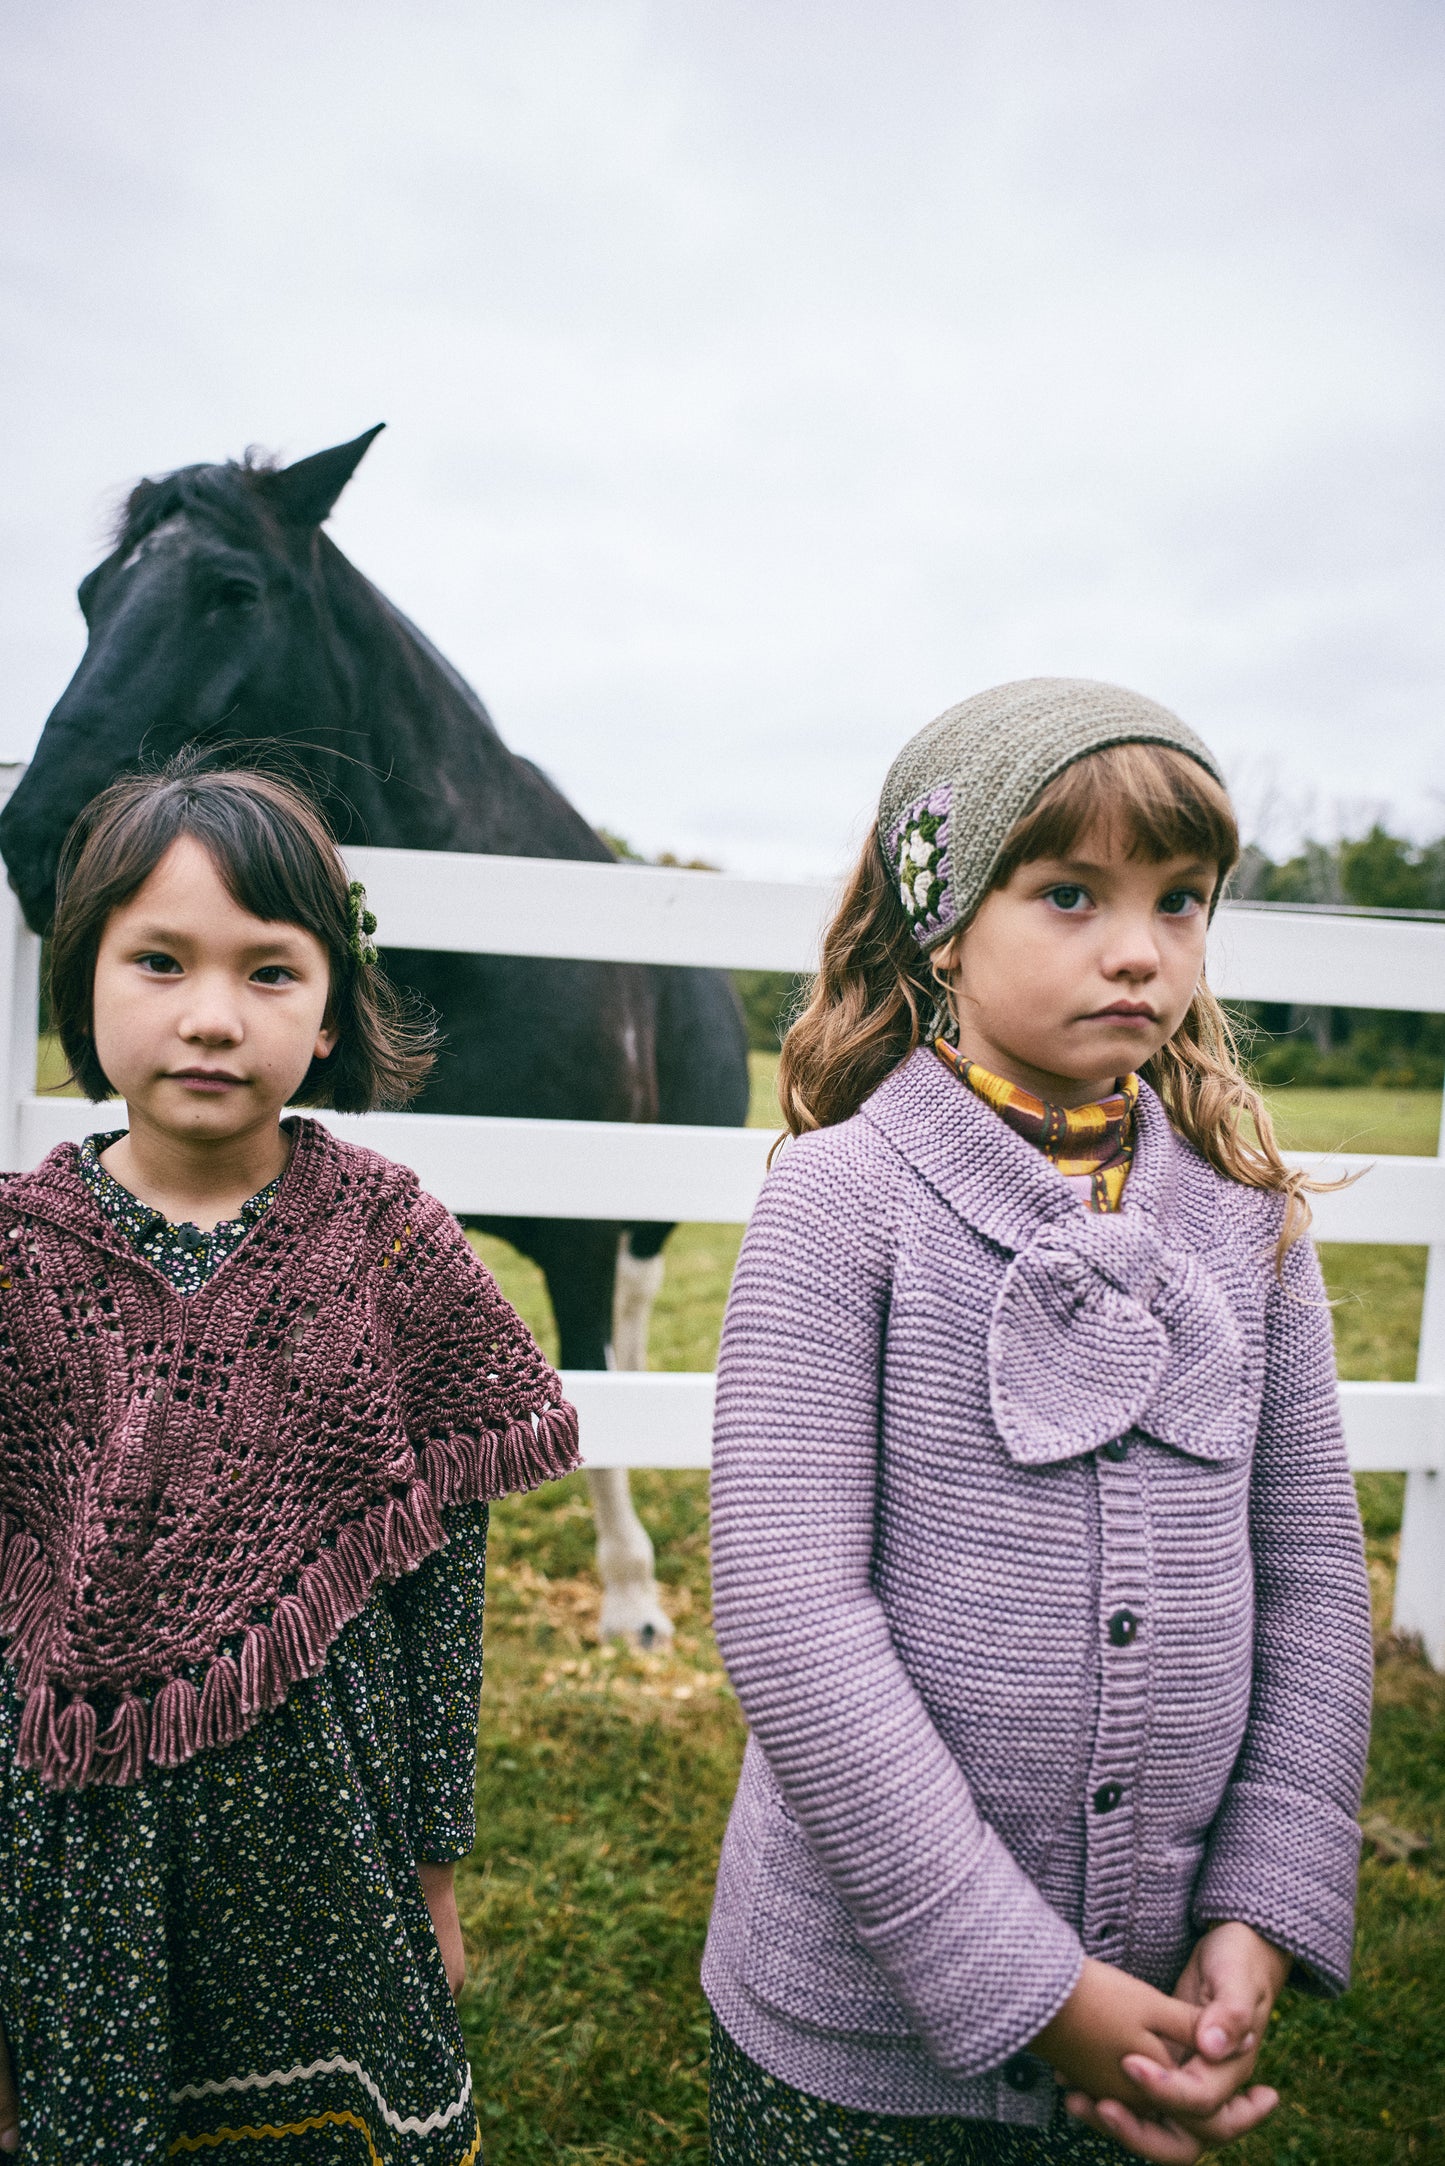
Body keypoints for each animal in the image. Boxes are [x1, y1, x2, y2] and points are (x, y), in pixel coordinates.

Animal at [0, 426, 745, 1637]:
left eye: (235, 591)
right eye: (88, 595)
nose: (34, 842)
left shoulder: (584, 1228)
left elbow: (591, 1392)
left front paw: (631, 1594)